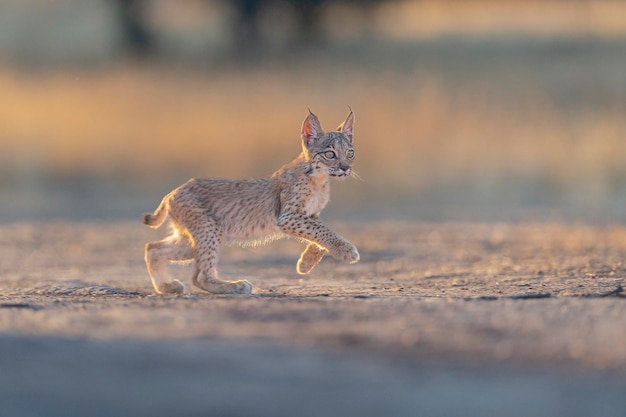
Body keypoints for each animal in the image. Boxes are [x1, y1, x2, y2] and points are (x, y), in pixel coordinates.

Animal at [141, 109, 356, 294]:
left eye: (350, 153)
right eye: (330, 154)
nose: (345, 168)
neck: (319, 179)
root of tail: (173, 192)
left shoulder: (309, 215)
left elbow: (318, 235)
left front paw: (305, 263)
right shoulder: (287, 217)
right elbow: (322, 231)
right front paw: (346, 251)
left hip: (194, 238)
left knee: (153, 248)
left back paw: (166, 287)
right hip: (209, 229)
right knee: (199, 276)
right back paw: (234, 286)